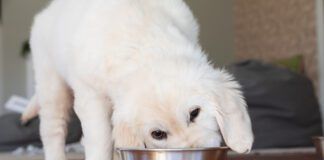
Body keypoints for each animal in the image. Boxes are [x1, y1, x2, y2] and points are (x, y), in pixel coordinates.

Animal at [26, 0, 253, 160]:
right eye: (158, 134)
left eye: (194, 113)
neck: (144, 46)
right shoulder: (91, 96)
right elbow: (101, 139)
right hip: (50, 82)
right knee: (52, 131)